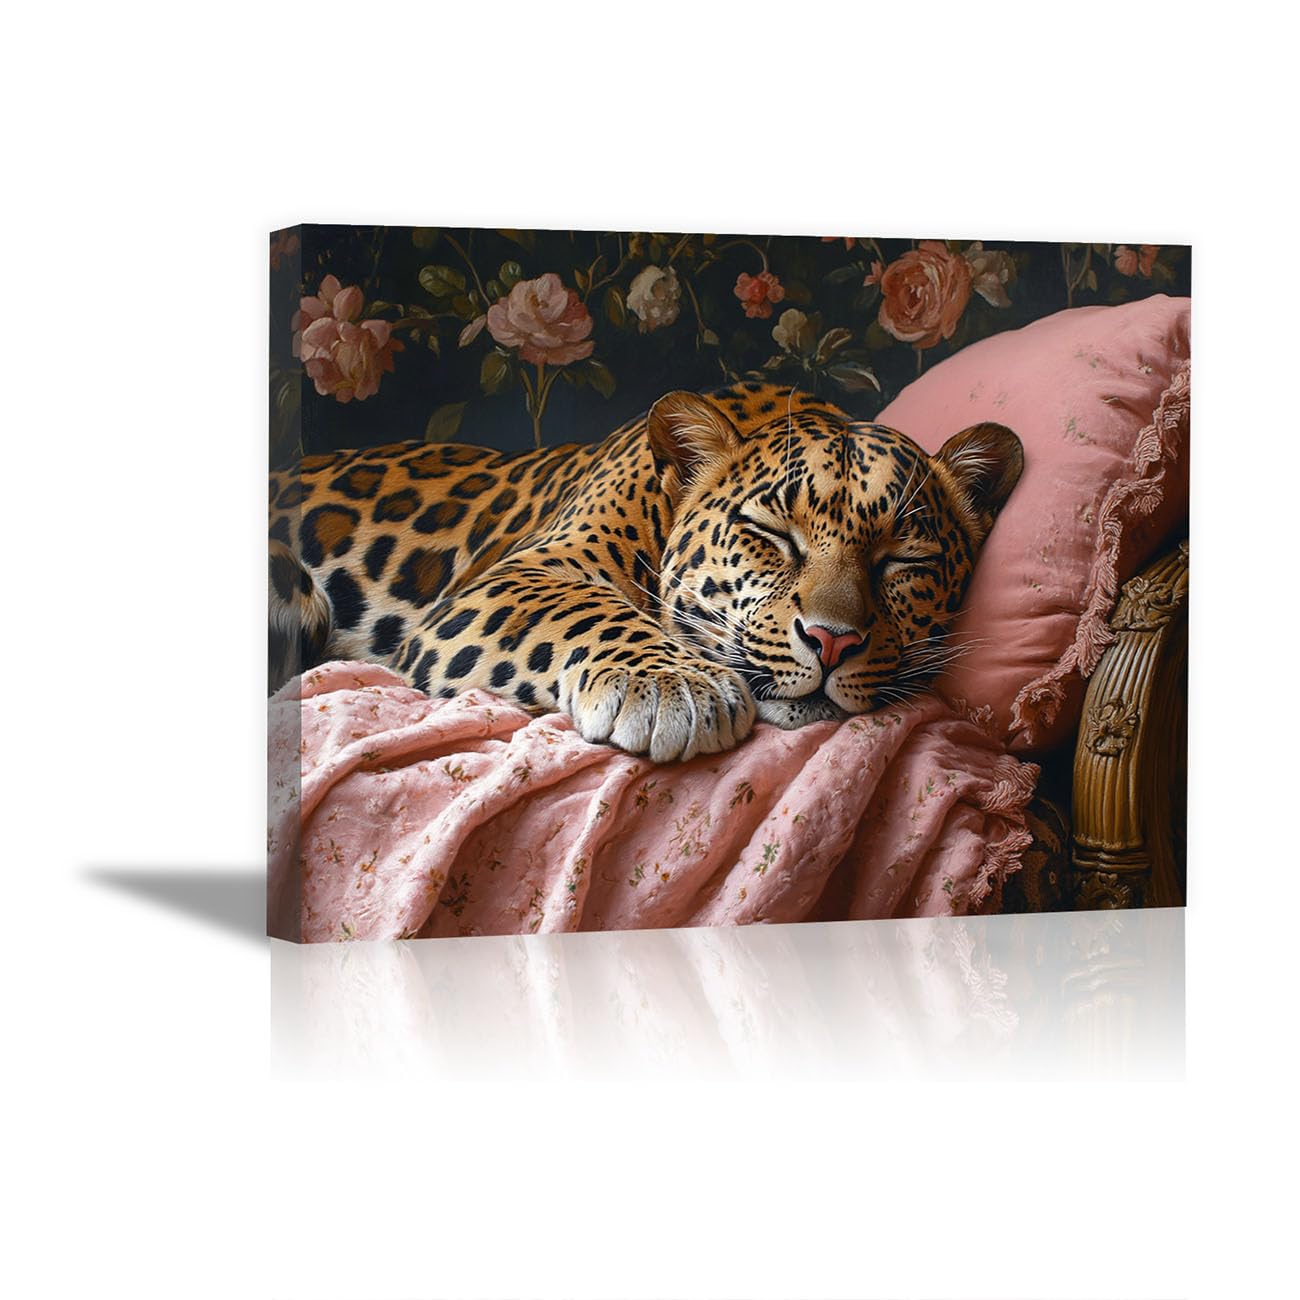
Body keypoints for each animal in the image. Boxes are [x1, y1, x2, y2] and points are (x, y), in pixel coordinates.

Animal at [269, 382, 1023, 763]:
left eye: (904, 560)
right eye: (771, 534)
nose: (833, 641)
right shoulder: (508, 579)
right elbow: (585, 610)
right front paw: (672, 689)